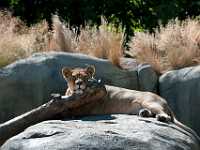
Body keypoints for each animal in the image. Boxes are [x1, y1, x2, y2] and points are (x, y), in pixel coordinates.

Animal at [61, 65, 199, 142]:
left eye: (85, 77)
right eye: (74, 77)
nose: (79, 83)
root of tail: (165, 101)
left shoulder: (86, 107)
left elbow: (69, 109)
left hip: (149, 102)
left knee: (166, 115)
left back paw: (161, 117)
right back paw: (143, 113)